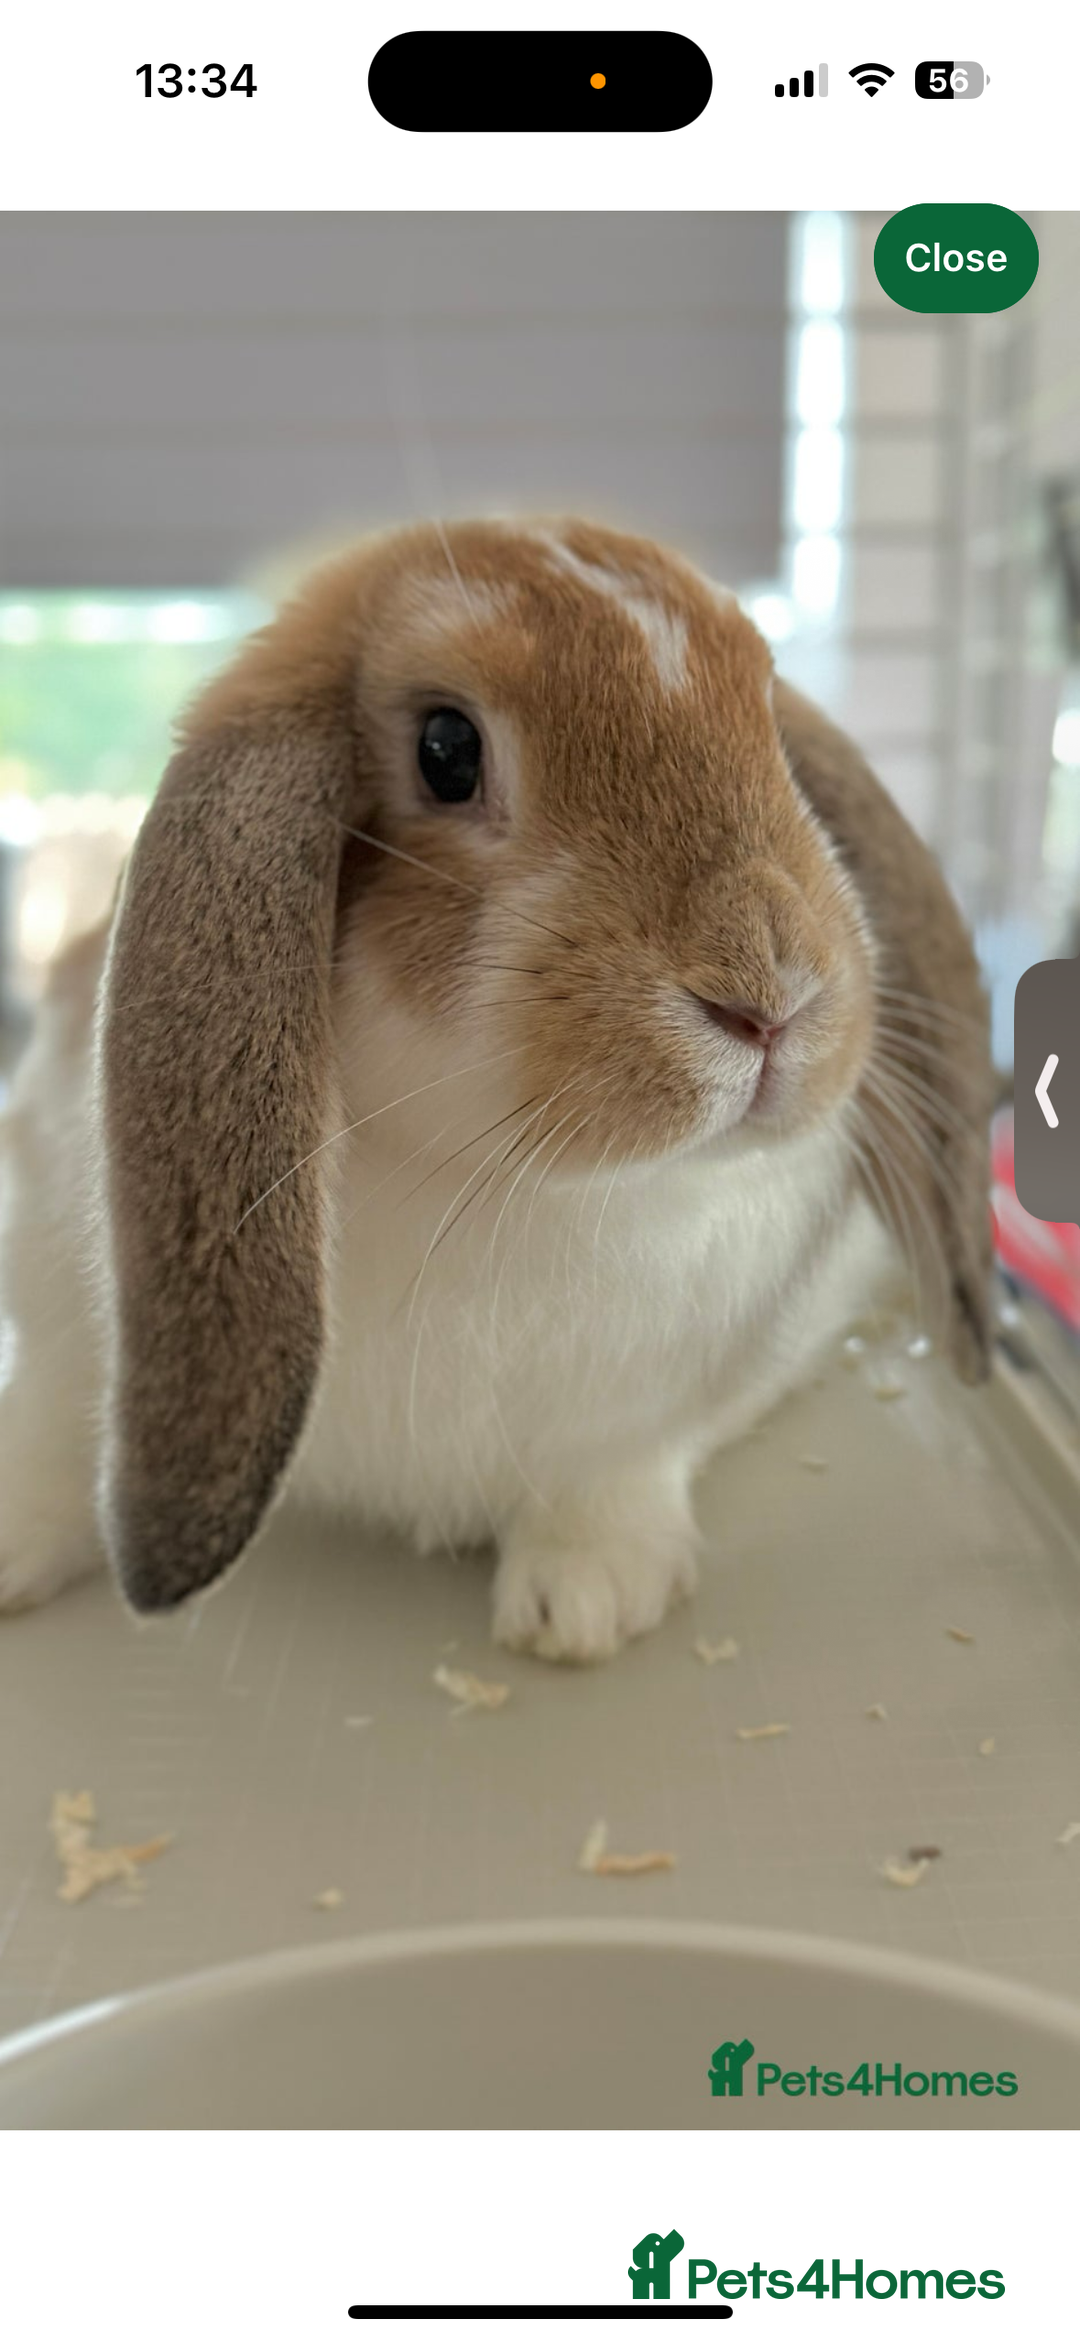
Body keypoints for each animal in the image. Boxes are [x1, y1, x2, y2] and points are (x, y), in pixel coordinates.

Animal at [0, 518, 994, 1660]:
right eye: (447, 749)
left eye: (774, 733)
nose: (771, 999)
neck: (485, 1178)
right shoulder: (51, 1300)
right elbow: (46, 1425)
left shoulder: (666, 1403)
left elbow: (624, 1468)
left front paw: (584, 1603)